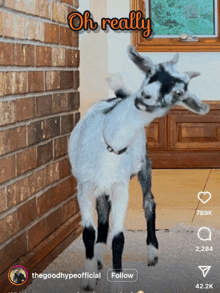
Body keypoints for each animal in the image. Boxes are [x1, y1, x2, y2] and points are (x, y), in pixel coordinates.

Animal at [68, 45, 209, 290]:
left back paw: (152, 252)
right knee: (103, 212)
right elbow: (88, 233)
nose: (146, 96)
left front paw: (117, 284)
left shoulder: (120, 187)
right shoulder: (84, 187)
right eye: (150, 72)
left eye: (178, 93)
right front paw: (88, 277)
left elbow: (119, 239)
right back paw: (98, 257)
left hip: (144, 165)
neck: (109, 143)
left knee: (148, 203)